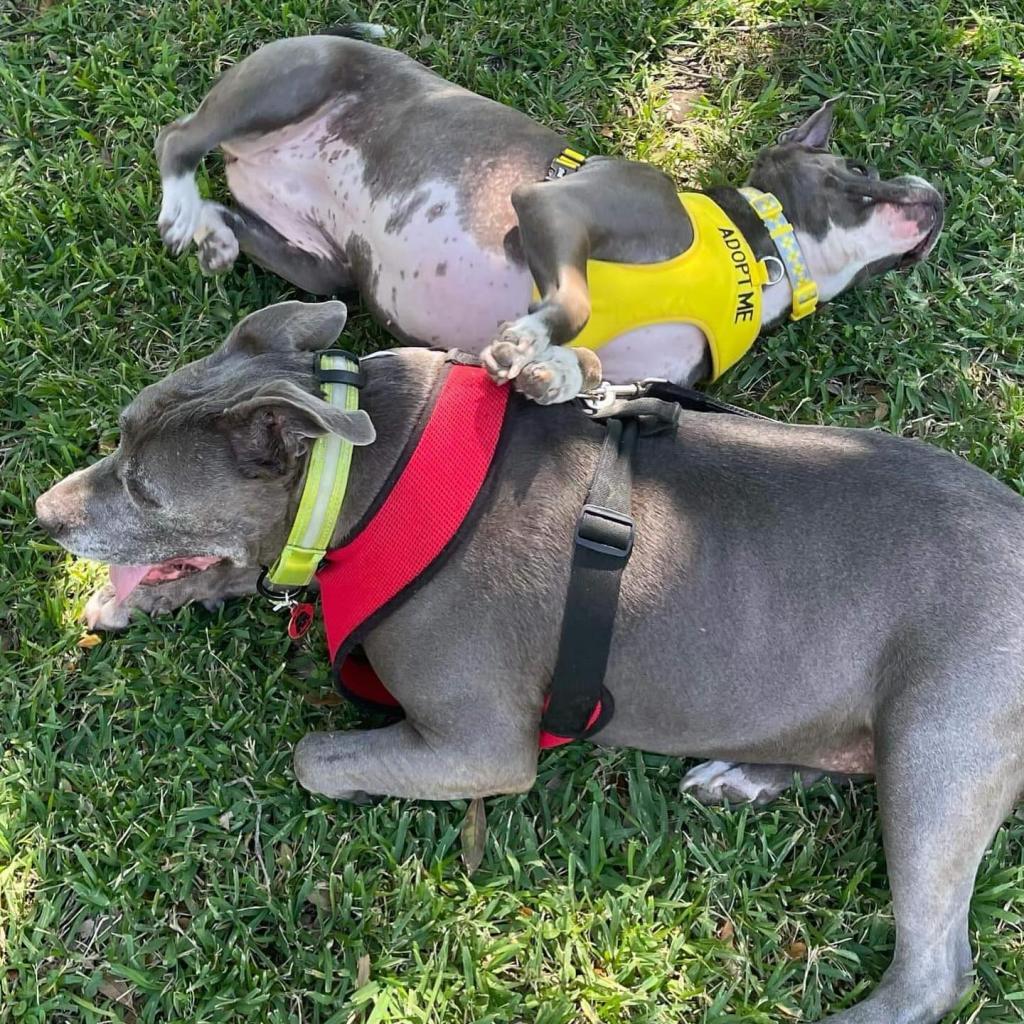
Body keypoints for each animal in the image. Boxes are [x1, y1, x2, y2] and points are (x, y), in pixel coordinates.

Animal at [39, 301, 1024, 1024]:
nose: (45, 515)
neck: (361, 475)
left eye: (144, 491)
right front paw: (128, 602)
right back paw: (745, 776)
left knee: (934, 967)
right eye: (119, 437)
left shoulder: (478, 745)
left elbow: (314, 757)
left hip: (938, 742)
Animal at [153, 33, 942, 399]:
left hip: (325, 268)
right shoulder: (550, 205)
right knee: (178, 135)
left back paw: (215, 233)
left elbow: (589, 366)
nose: (938, 195)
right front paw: (534, 337)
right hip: (296, 78)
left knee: (250, 223)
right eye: (860, 170)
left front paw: (549, 373)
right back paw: (182, 202)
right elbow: (572, 303)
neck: (754, 257)